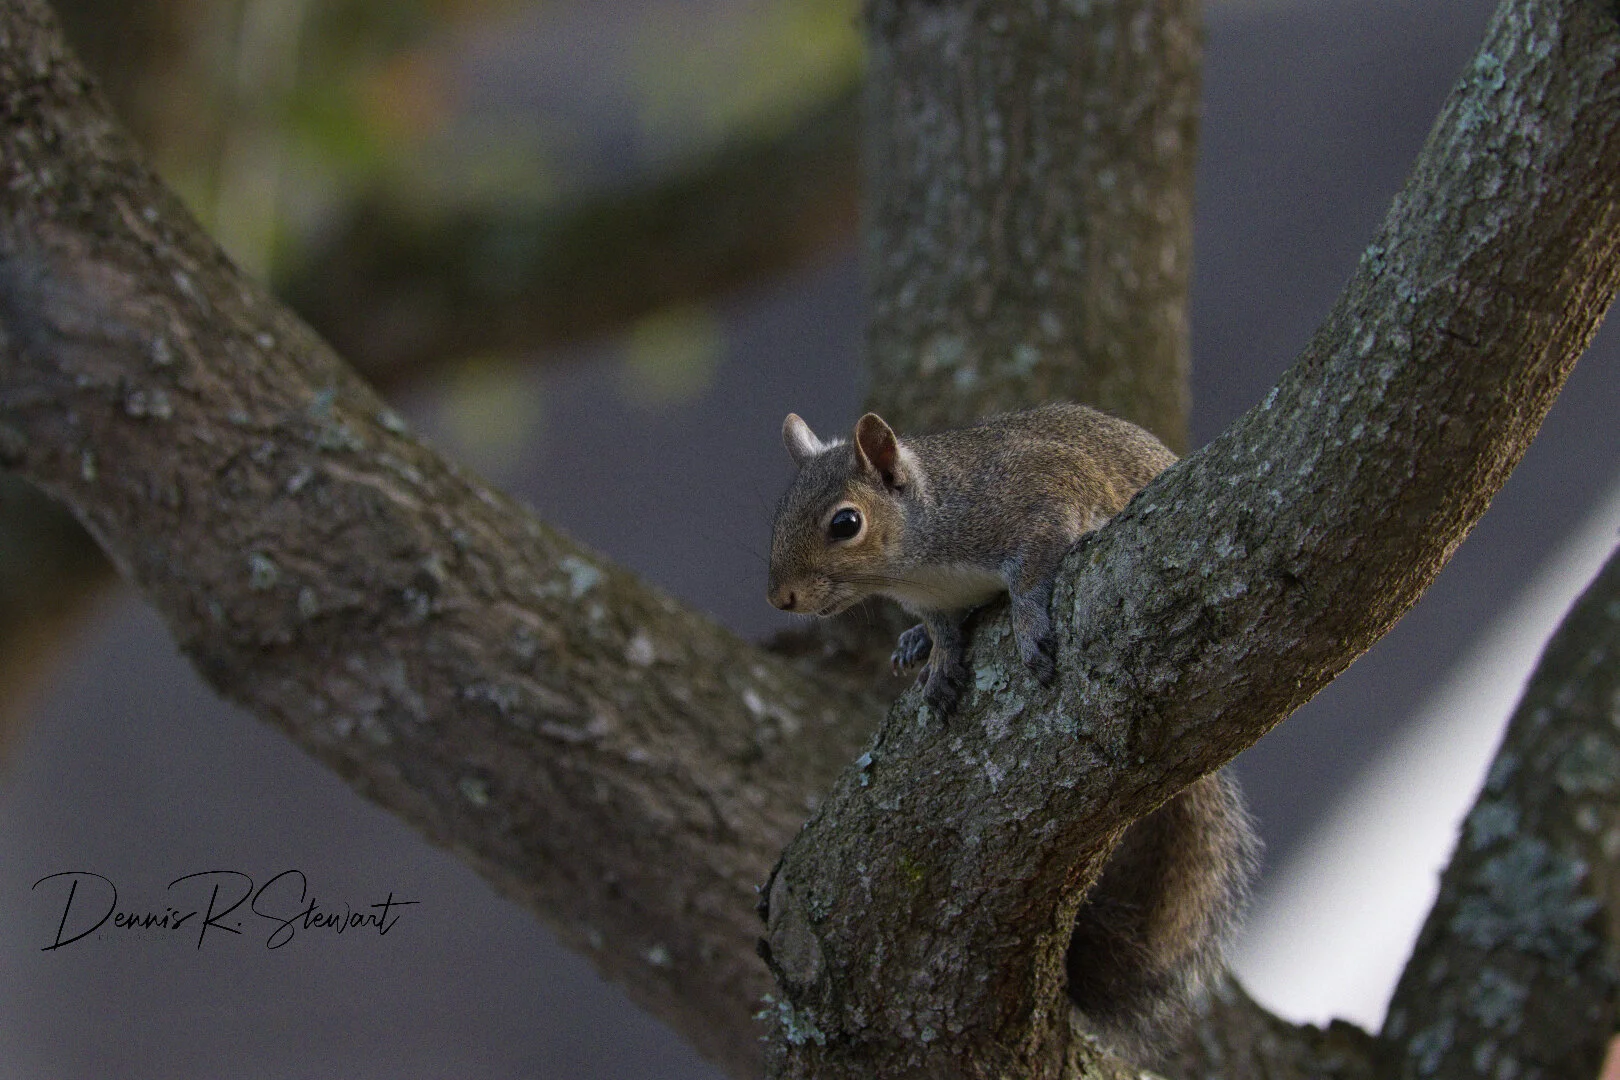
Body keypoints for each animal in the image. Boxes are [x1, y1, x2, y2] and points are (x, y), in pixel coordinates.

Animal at [766, 403, 1259, 1061]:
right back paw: (914, 646)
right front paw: (940, 656)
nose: (781, 597)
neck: (920, 562)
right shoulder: (938, 601)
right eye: (779, 512)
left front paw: (1028, 627)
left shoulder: (1037, 506)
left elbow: (1032, 577)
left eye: (846, 523)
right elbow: (944, 628)